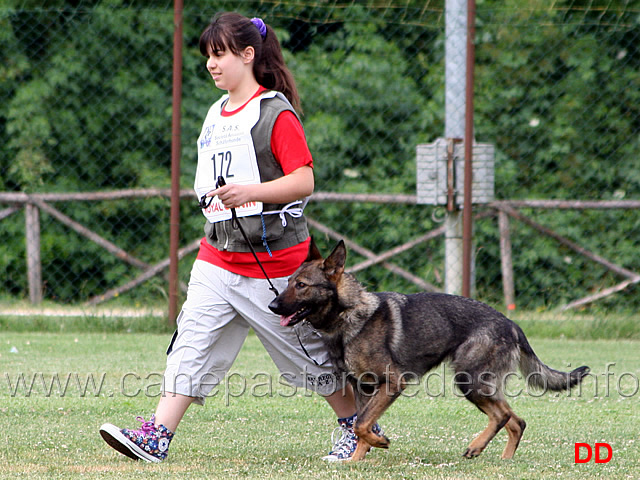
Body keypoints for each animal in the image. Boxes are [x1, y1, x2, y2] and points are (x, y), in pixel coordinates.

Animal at [268, 240, 588, 462]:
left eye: (301, 285)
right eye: (288, 283)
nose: (272, 306)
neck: (348, 314)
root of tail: (511, 323)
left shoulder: (392, 383)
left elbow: (362, 424)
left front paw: (378, 443)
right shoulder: (362, 388)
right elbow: (361, 425)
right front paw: (357, 460)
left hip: (469, 380)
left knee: (502, 416)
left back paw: (476, 447)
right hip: (480, 385)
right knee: (516, 420)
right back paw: (504, 458)